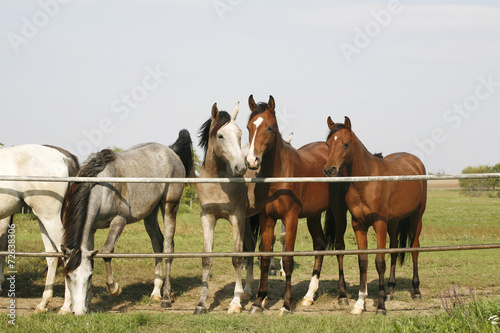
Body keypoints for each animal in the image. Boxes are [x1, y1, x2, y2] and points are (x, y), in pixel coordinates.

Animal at [0, 144, 79, 312]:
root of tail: (64, 158)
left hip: (49, 217)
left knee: (66, 253)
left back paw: (66, 306)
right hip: (42, 218)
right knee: (52, 256)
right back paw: (43, 303)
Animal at [61, 130, 193, 314]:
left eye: (89, 276)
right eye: (68, 276)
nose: (79, 312)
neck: (102, 185)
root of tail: (171, 151)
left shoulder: (119, 220)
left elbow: (107, 251)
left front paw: (114, 288)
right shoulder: (92, 228)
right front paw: (89, 302)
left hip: (169, 205)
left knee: (168, 247)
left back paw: (166, 297)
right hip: (150, 213)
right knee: (157, 243)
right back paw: (156, 292)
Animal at [246, 95, 348, 314]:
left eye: (269, 128)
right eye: (249, 127)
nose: (252, 160)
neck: (277, 176)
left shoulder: (290, 218)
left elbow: (287, 259)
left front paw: (286, 304)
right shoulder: (266, 219)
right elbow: (265, 258)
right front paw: (258, 301)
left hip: (338, 210)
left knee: (339, 246)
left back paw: (343, 296)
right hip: (313, 215)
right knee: (320, 245)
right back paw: (309, 296)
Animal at [324, 116, 426, 314]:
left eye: (346, 144)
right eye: (327, 144)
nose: (329, 170)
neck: (366, 181)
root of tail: (415, 161)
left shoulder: (379, 224)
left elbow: (379, 262)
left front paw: (380, 306)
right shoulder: (359, 224)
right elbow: (363, 260)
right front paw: (360, 303)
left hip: (417, 216)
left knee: (415, 248)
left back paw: (416, 291)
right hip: (393, 222)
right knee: (394, 249)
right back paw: (391, 291)